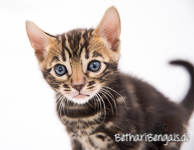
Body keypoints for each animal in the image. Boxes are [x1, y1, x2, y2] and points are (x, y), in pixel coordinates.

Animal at [26, 6, 194, 150]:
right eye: (60, 69)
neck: (81, 115)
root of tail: (179, 110)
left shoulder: (129, 139)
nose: (78, 85)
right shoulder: (76, 140)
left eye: (94, 65)